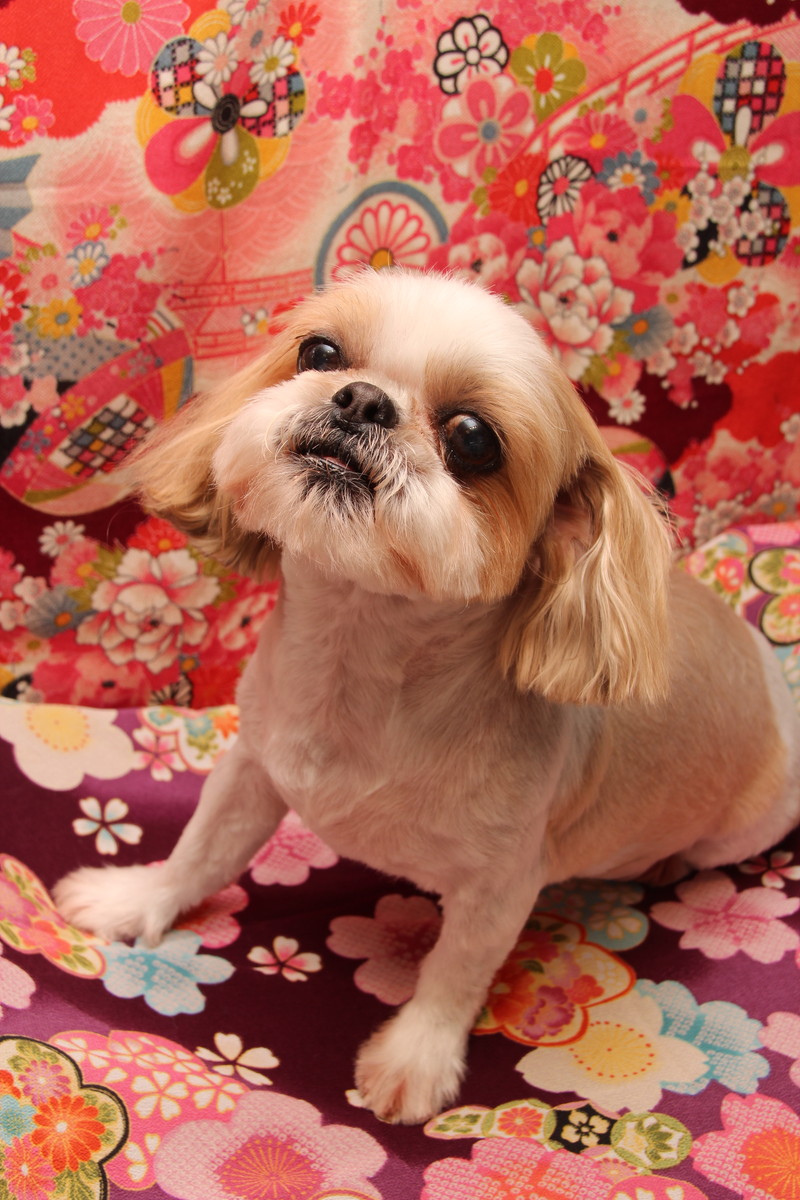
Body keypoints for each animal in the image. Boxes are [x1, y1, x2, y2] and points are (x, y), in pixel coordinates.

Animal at [55, 268, 800, 1124]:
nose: (361, 400)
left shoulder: (501, 885)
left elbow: (454, 973)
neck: (361, 663)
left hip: (746, 826)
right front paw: (134, 899)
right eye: (320, 352)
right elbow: (201, 851)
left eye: (474, 438)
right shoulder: (253, 767)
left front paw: (414, 1060)